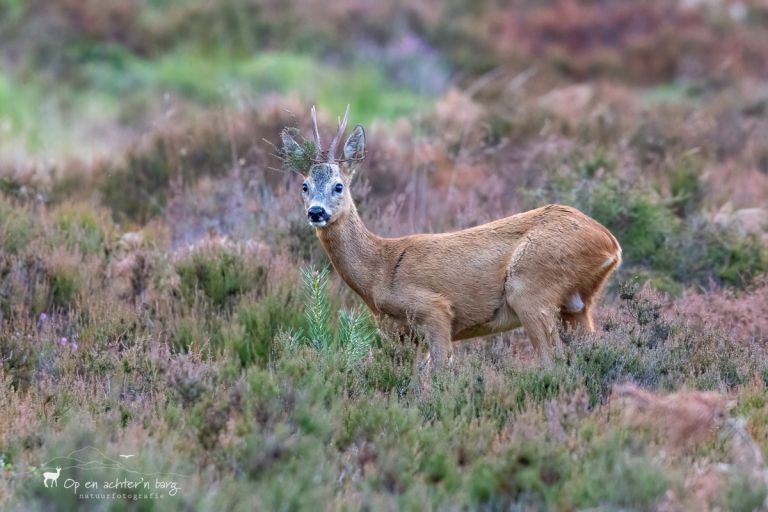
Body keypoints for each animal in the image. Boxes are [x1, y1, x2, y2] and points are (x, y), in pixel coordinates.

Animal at [280, 106, 620, 366]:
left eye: (338, 186)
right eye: (304, 186)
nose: (316, 212)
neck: (379, 271)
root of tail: (610, 243)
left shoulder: (435, 311)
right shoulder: (400, 336)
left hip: (531, 288)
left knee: (553, 360)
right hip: (577, 304)